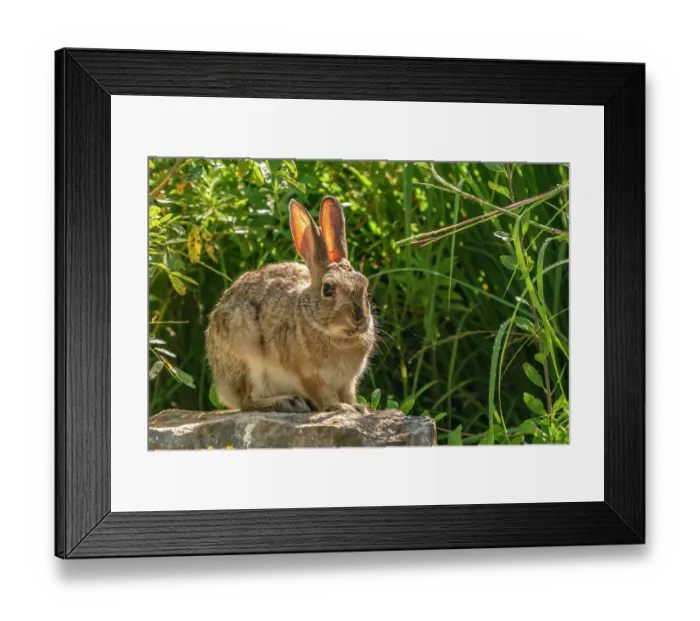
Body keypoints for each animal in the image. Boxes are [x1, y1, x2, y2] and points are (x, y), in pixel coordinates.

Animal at [205, 196, 377, 415]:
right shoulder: (309, 376)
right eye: (328, 289)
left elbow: (348, 393)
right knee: (247, 401)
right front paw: (340, 407)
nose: (358, 318)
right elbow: (323, 396)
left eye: (364, 285)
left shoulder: (347, 381)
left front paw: (358, 407)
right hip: (248, 359)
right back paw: (288, 402)